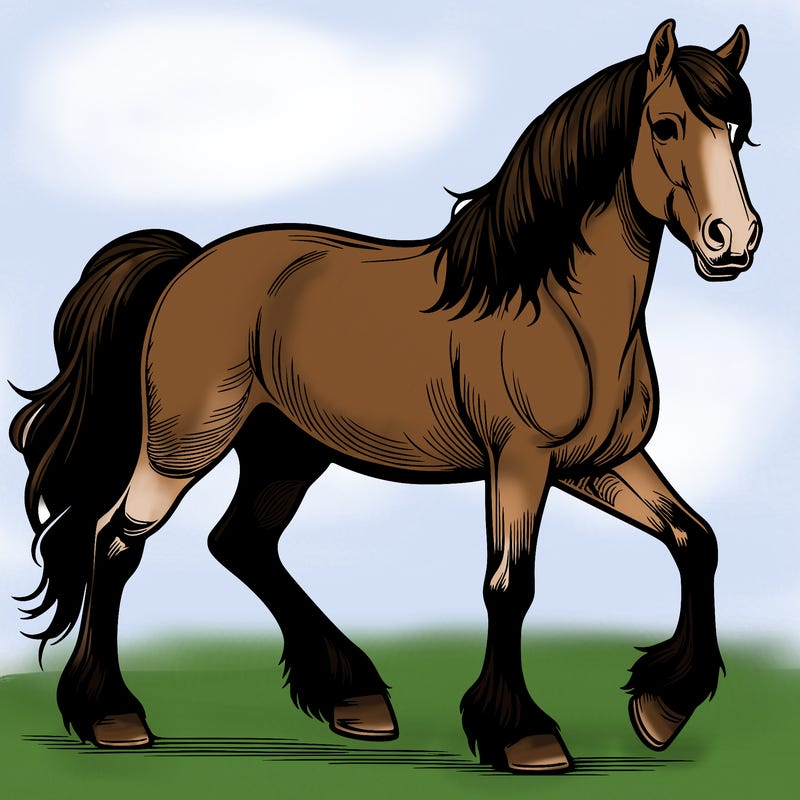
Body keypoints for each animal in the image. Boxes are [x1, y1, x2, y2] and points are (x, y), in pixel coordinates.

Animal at [10, 19, 760, 773]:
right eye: (665, 125)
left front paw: (662, 708)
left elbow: (696, 539)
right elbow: (510, 585)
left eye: (736, 132)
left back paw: (355, 698)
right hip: (183, 445)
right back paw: (113, 717)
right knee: (115, 541)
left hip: (286, 451)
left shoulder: (599, 462)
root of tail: (189, 263)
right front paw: (524, 736)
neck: (555, 307)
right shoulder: (520, 460)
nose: (734, 240)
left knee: (242, 541)